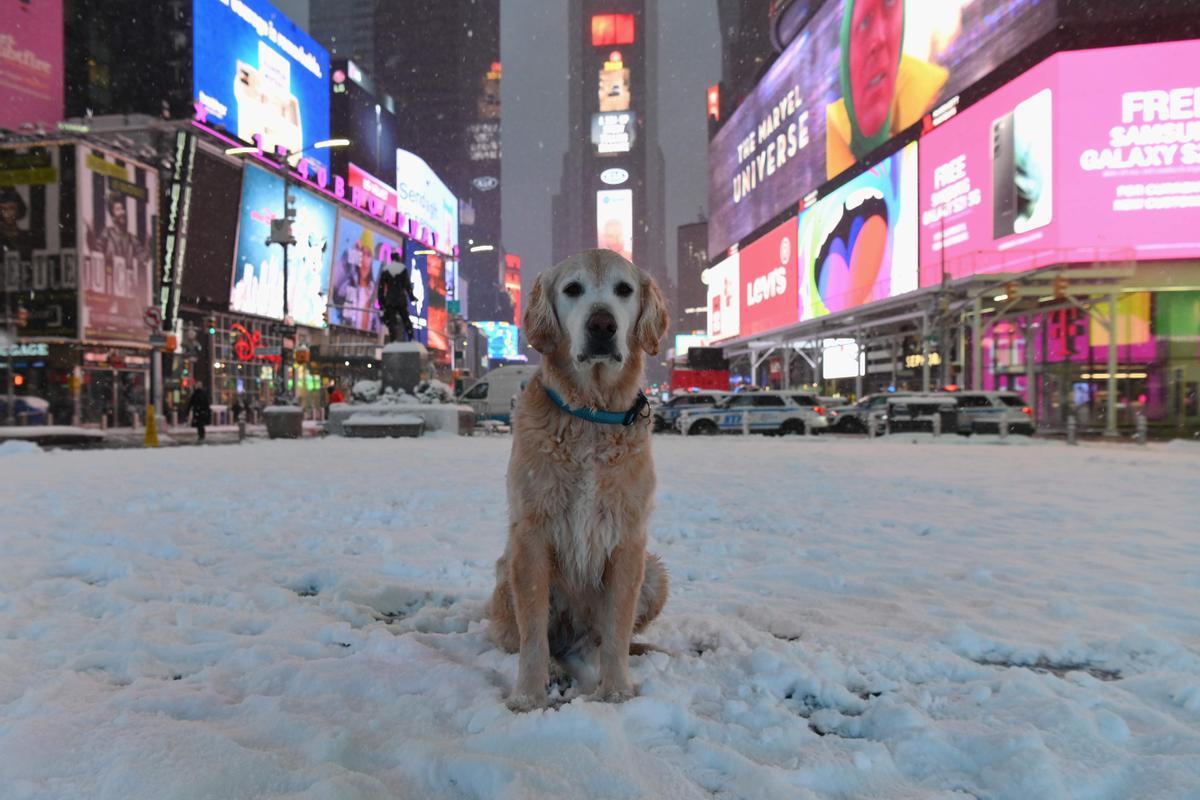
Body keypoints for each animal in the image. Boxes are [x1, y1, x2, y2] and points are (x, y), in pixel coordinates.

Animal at [489, 250, 676, 714]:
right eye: (572, 289)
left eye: (624, 290)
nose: (602, 325)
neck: (591, 413)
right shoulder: (530, 536)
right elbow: (533, 634)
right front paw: (529, 697)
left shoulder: (629, 540)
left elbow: (617, 631)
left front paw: (616, 692)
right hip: (505, 575)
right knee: (524, 638)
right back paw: (556, 670)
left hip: (655, 572)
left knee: (603, 640)